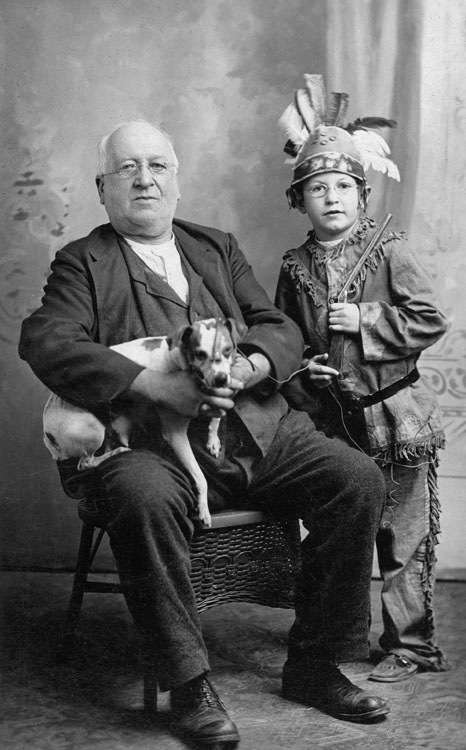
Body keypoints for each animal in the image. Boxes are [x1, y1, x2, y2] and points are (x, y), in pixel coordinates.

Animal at [43, 317, 247, 527]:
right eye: (200, 354)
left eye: (228, 350)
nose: (221, 379)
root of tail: (47, 432)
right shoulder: (176, 434)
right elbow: (200, 478)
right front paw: (204, 508)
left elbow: (217, 416)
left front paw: (213, 440)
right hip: (93, 431)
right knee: (85, 463)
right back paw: (116, 452)